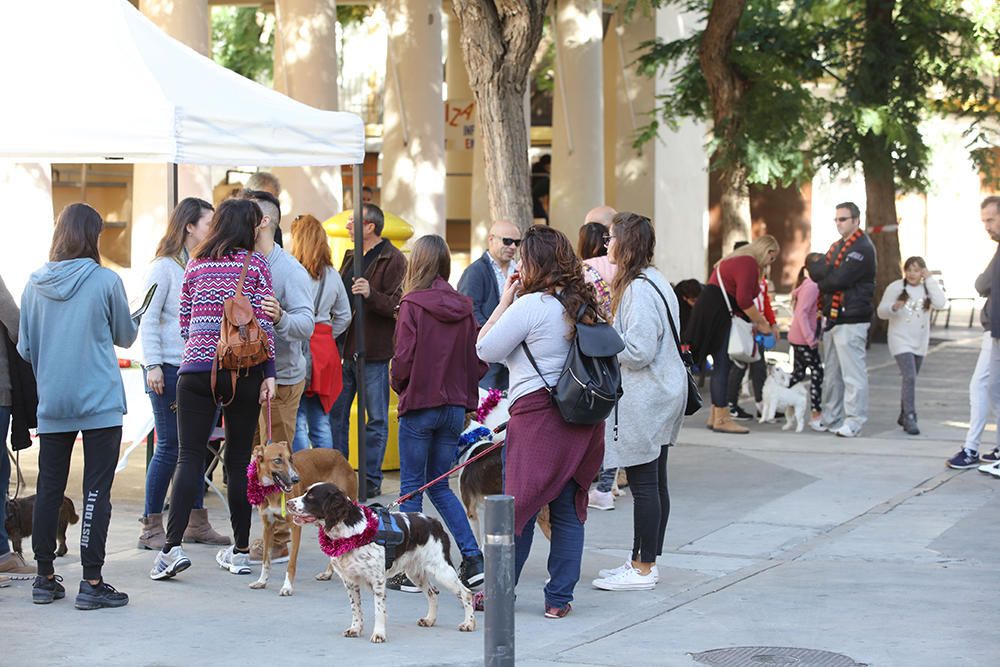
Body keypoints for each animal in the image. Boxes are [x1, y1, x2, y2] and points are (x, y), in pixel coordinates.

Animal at [248, 444, 358, 596]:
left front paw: (287, 586)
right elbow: (266, 560)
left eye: (290, 459)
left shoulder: (295, 527)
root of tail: (339, 455)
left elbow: (291, 564)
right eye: (277, 460)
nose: (296, 479)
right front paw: (262, 581)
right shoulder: (268, 527)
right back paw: (328, 573)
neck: (273, 492)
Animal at [286, 482, 476, 644]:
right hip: (415, 573)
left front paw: (378, 634)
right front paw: (355, 629)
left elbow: (379, 611)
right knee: (433, 592)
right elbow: (356, 608)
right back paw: (430, 620)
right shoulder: (350, 581)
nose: (288, 503)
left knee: (466, 593)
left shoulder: (377, 581)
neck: (349, 532)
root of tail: (434, 522)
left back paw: (469, 623)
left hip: (442, 570)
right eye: (305, 492)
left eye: (311, 496)